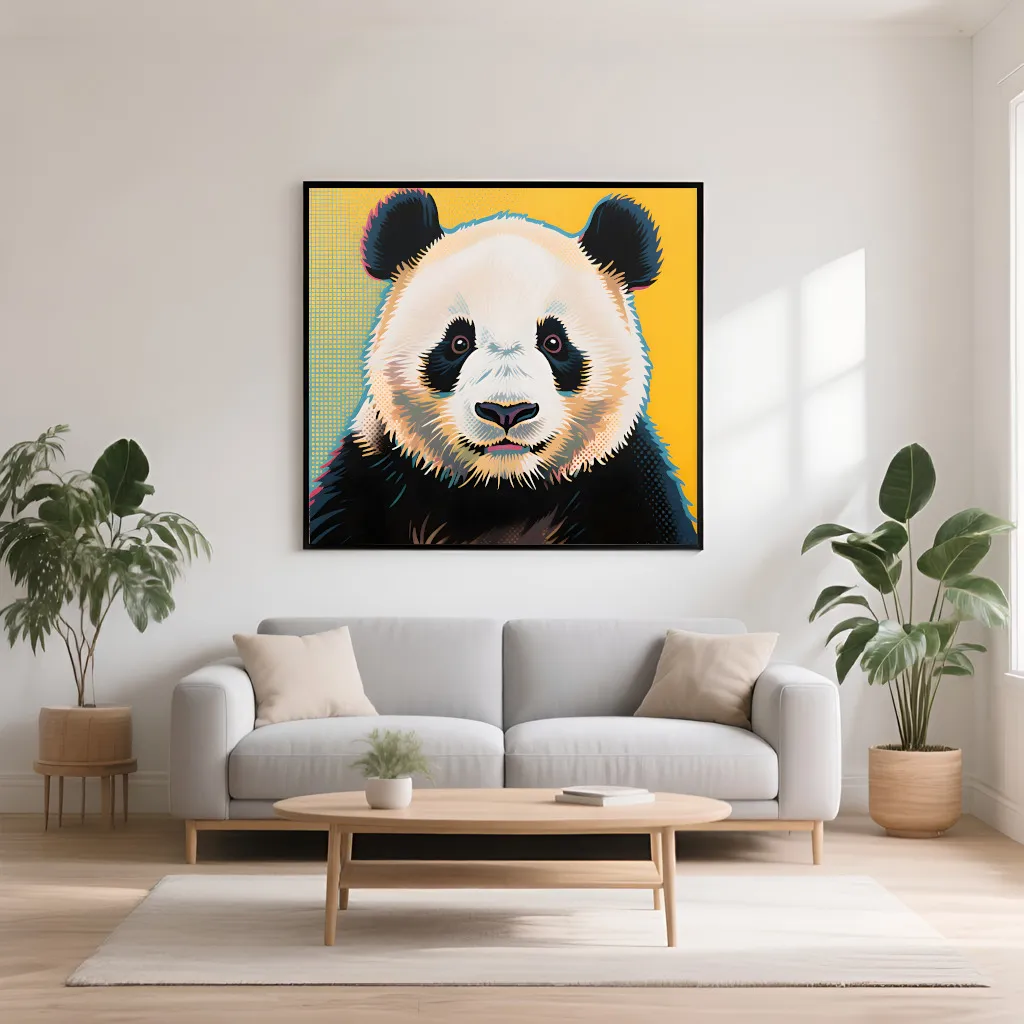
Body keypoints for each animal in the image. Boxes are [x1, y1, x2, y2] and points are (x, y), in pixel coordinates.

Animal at [308, 189, 698, 547]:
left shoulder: (627, 483)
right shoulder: (372, 475)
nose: (507, 412)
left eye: (553, 342)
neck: (501, 493)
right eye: (458, 343)